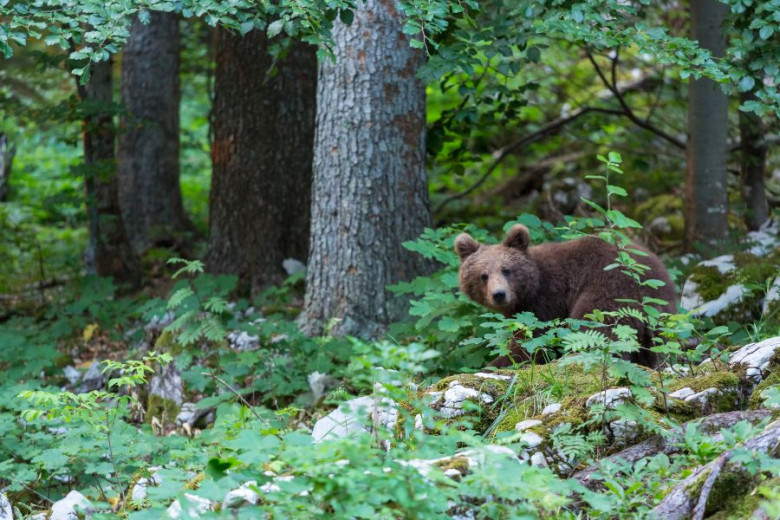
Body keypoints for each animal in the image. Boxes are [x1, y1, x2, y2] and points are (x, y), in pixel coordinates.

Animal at [454, 225, 672, 368]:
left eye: (506, 270)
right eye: (483, 275)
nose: (499, 294)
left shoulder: (545, 302)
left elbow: (532, 344)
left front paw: (497, 364)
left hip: (611, 288)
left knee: (594, 327)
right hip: (660, 313)